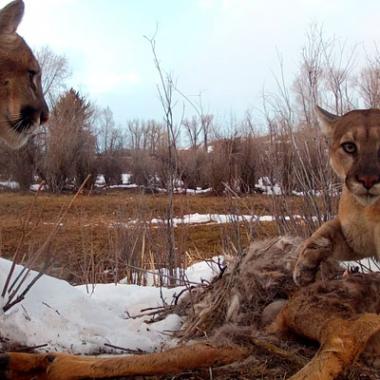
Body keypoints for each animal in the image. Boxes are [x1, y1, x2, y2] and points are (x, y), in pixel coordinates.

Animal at [294, 106, 380, 284]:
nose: (368, 180)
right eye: (349, 147)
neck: (368, 210)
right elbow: (324, 230)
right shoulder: (355, 240)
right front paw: (303, 266)